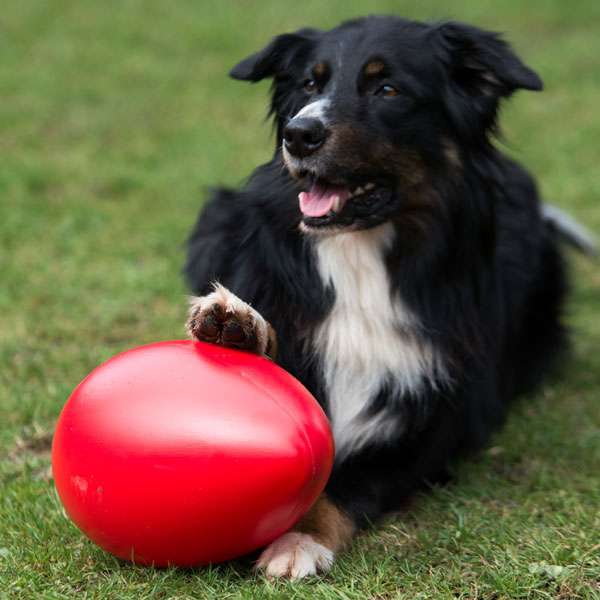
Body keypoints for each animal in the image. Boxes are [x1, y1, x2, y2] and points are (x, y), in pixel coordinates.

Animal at [183, 12, 596, 576]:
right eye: (310, 84)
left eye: (387, 89)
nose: (298, 134)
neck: (362, 263)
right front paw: (236, 329)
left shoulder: (435, 423)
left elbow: (348, 482)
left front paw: (300, 538)